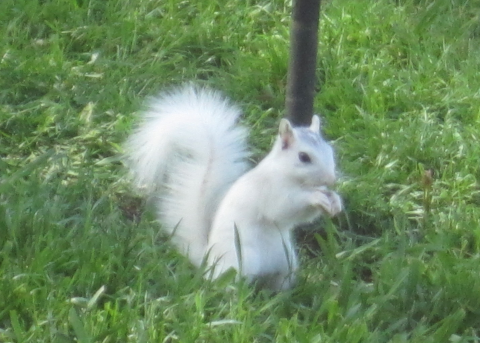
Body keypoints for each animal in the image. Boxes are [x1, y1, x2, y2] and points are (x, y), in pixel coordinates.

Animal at [124, 85, 342, 290]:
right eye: (304, 157)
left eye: (330, 150)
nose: (331, 179)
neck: (291, 178)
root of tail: (208, 262)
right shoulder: (270, 191)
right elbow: (283, 208)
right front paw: (316, 198)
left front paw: (334, 200)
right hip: (241, 261)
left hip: (286, 263)